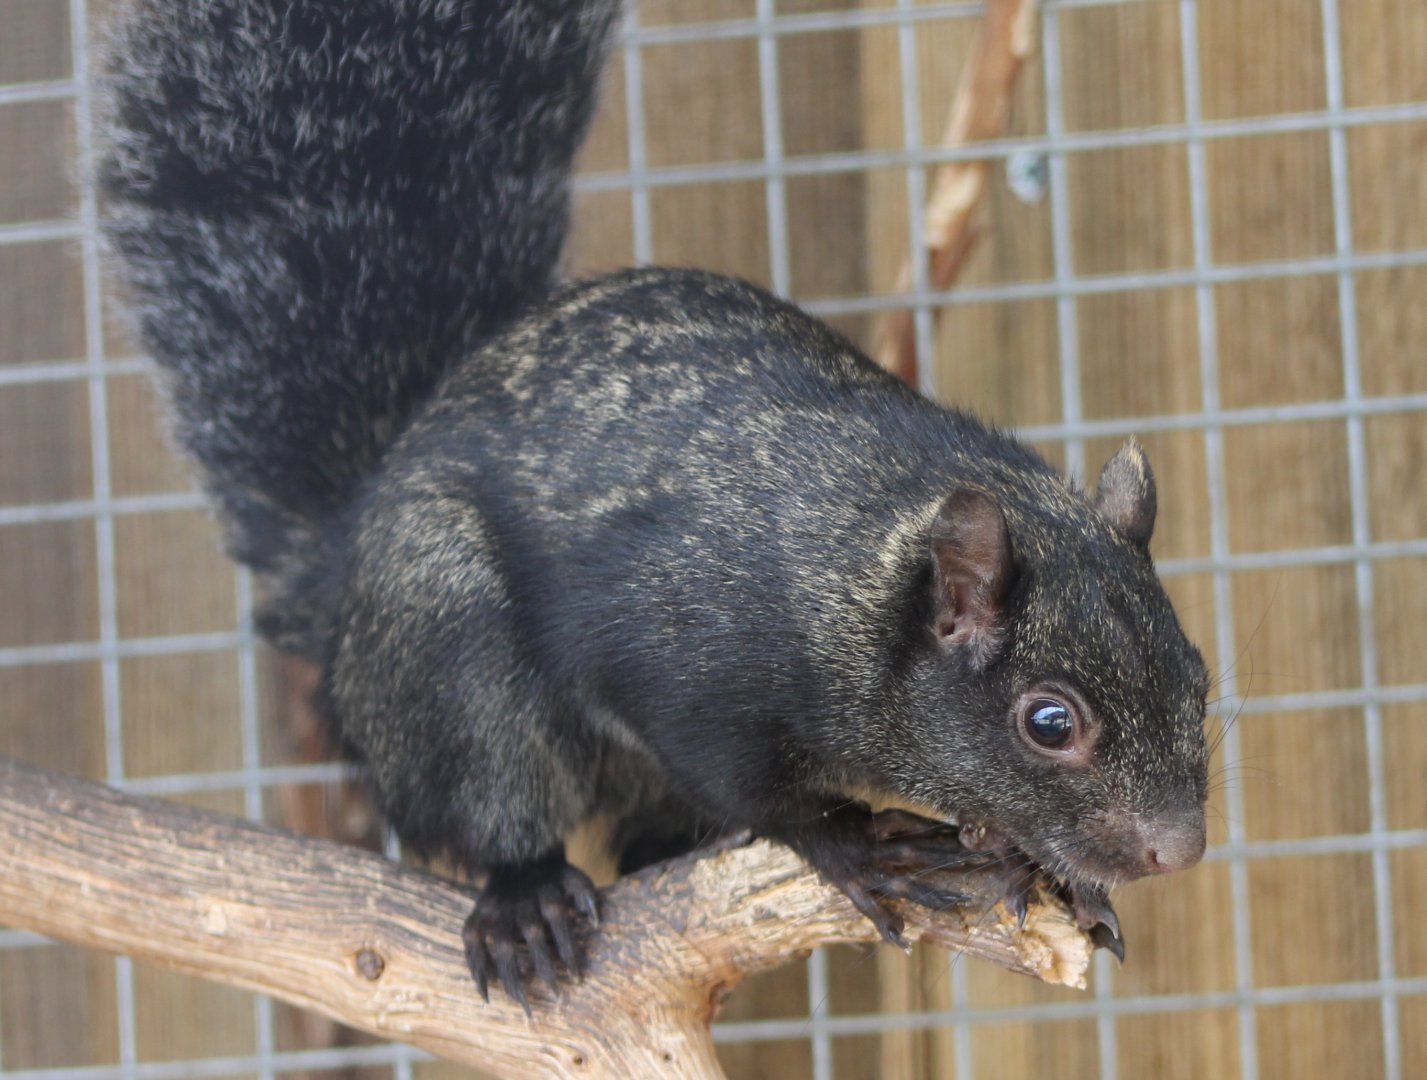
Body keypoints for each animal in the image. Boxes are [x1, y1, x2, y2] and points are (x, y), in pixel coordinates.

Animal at [98, 0, 1210, 1010]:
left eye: (1199, 677)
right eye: (1047, 721)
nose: (1180, 850)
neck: (854, 562)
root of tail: (345, 571)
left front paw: (1050, 870)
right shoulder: (684, 654)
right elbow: (750, 786)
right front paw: (847, 838)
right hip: (444, 654)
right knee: (486, 798)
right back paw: (526, 900)